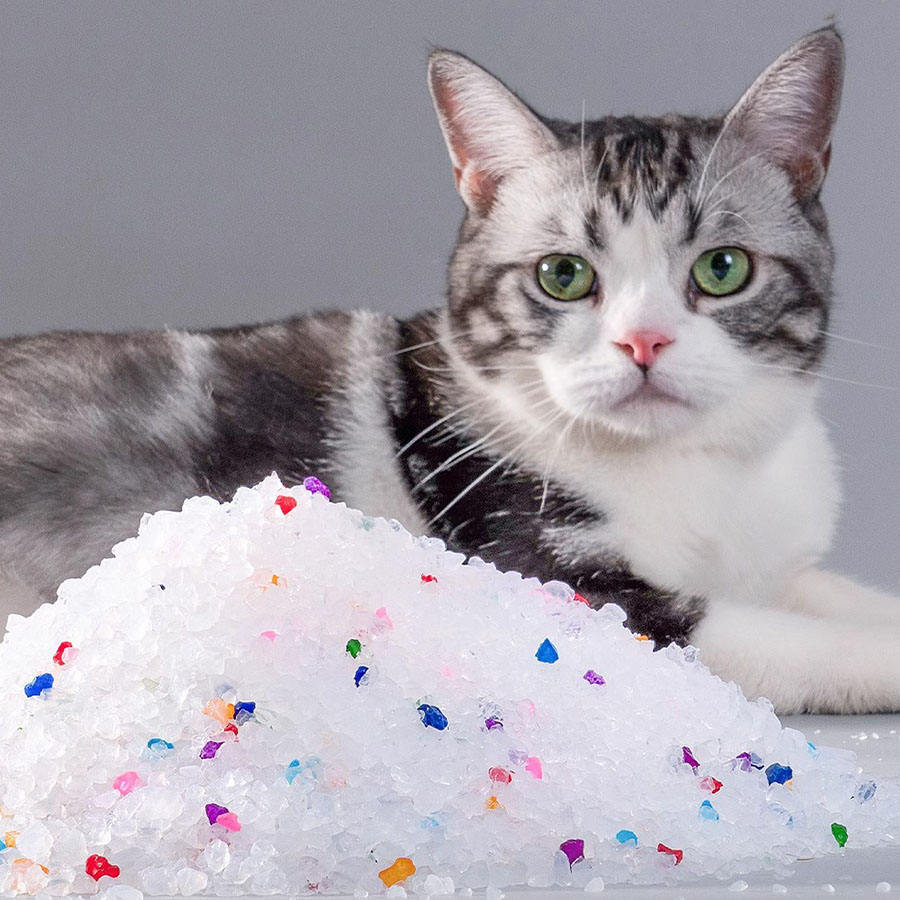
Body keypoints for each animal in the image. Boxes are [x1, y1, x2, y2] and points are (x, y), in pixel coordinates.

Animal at [0, 27, 897, 714]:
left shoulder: (776, 562)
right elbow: (780, 638)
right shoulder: (555, 580)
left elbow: (837, 596)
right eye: (563, 276)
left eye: (722, 269)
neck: (703, 474)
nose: (643, 343)